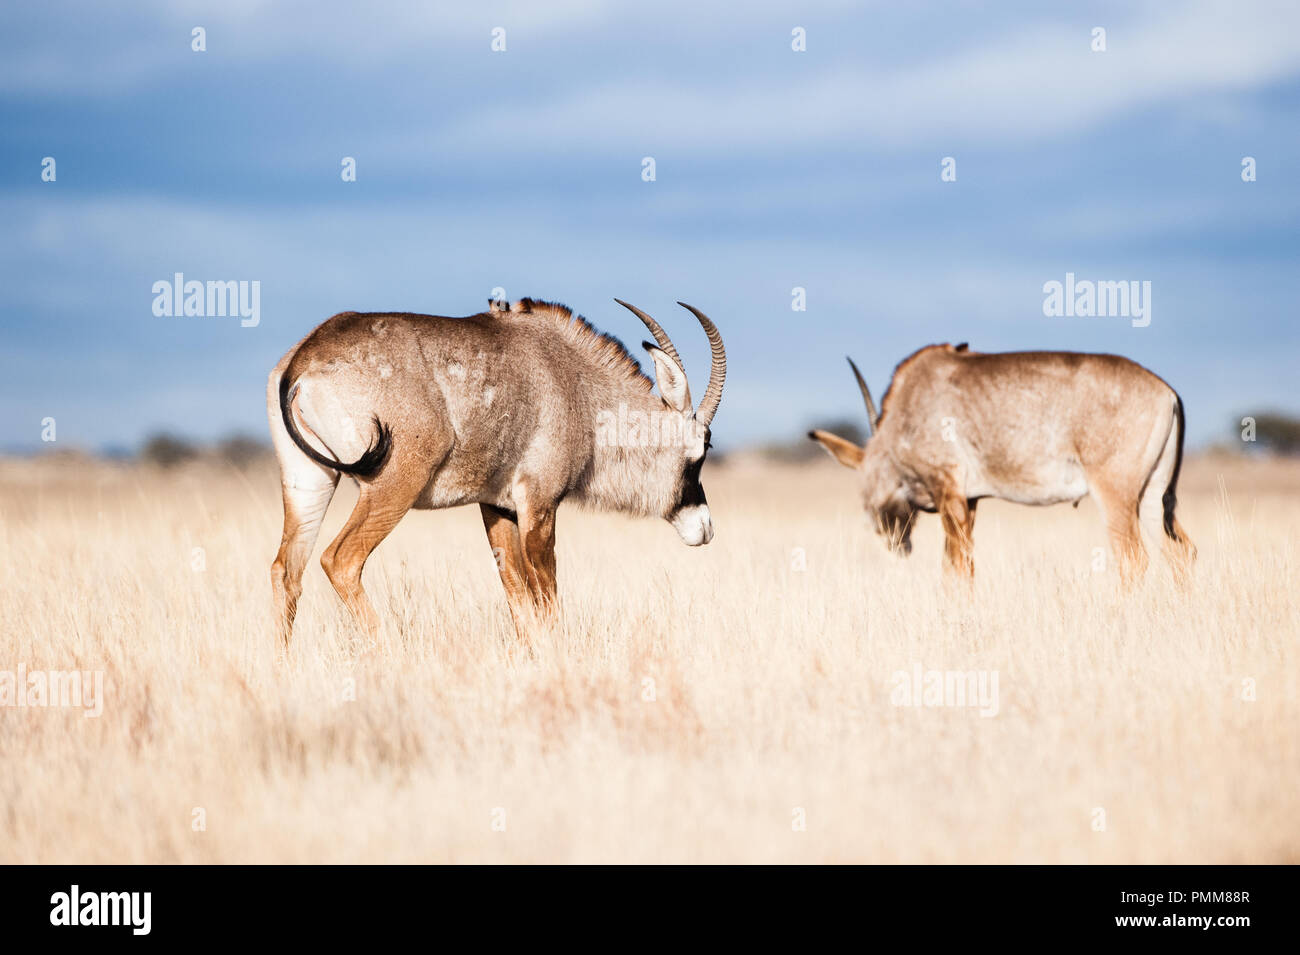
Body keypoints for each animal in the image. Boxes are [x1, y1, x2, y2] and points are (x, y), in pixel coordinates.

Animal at [267, 297, 728, 641]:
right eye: (702, 447)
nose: (705, 528)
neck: (573, 383)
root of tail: (306, 356)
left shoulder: (497, 506)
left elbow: (518, 598)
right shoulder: (539, 506)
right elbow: (546, 597)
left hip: (309, 482)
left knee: (286, 569)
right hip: (393, 484)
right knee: (341, 560)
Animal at [811, 345, 1196, 579]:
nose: (893, 538)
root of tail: (1166, 392)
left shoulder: (948, 491)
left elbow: (958, 567)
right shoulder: (969, 501)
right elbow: (958, 566)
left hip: (1115, 495)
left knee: (1133, 560)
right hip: (1152, 498)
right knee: (1181, 554)